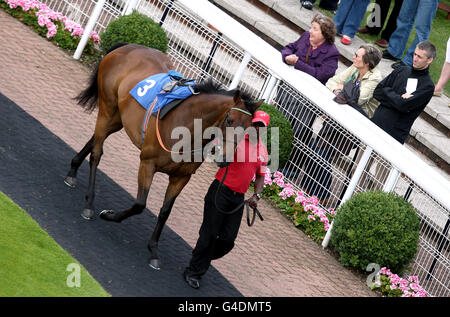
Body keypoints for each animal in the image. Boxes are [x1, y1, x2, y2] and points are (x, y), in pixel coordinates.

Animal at [63, 42, 260, 270]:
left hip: (119, 117)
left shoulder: (181, 177)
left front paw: (154, 250)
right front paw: (111, 215)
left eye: (249, 128)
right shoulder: (148, 163)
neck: (187, 128)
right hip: (107, 107)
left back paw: (73, 170)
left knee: (94, 140)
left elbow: (166, 211)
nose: (225, 158)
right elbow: (140, 204)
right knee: (97, 153)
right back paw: (89, 204)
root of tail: (129, 46)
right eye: (229, 120)